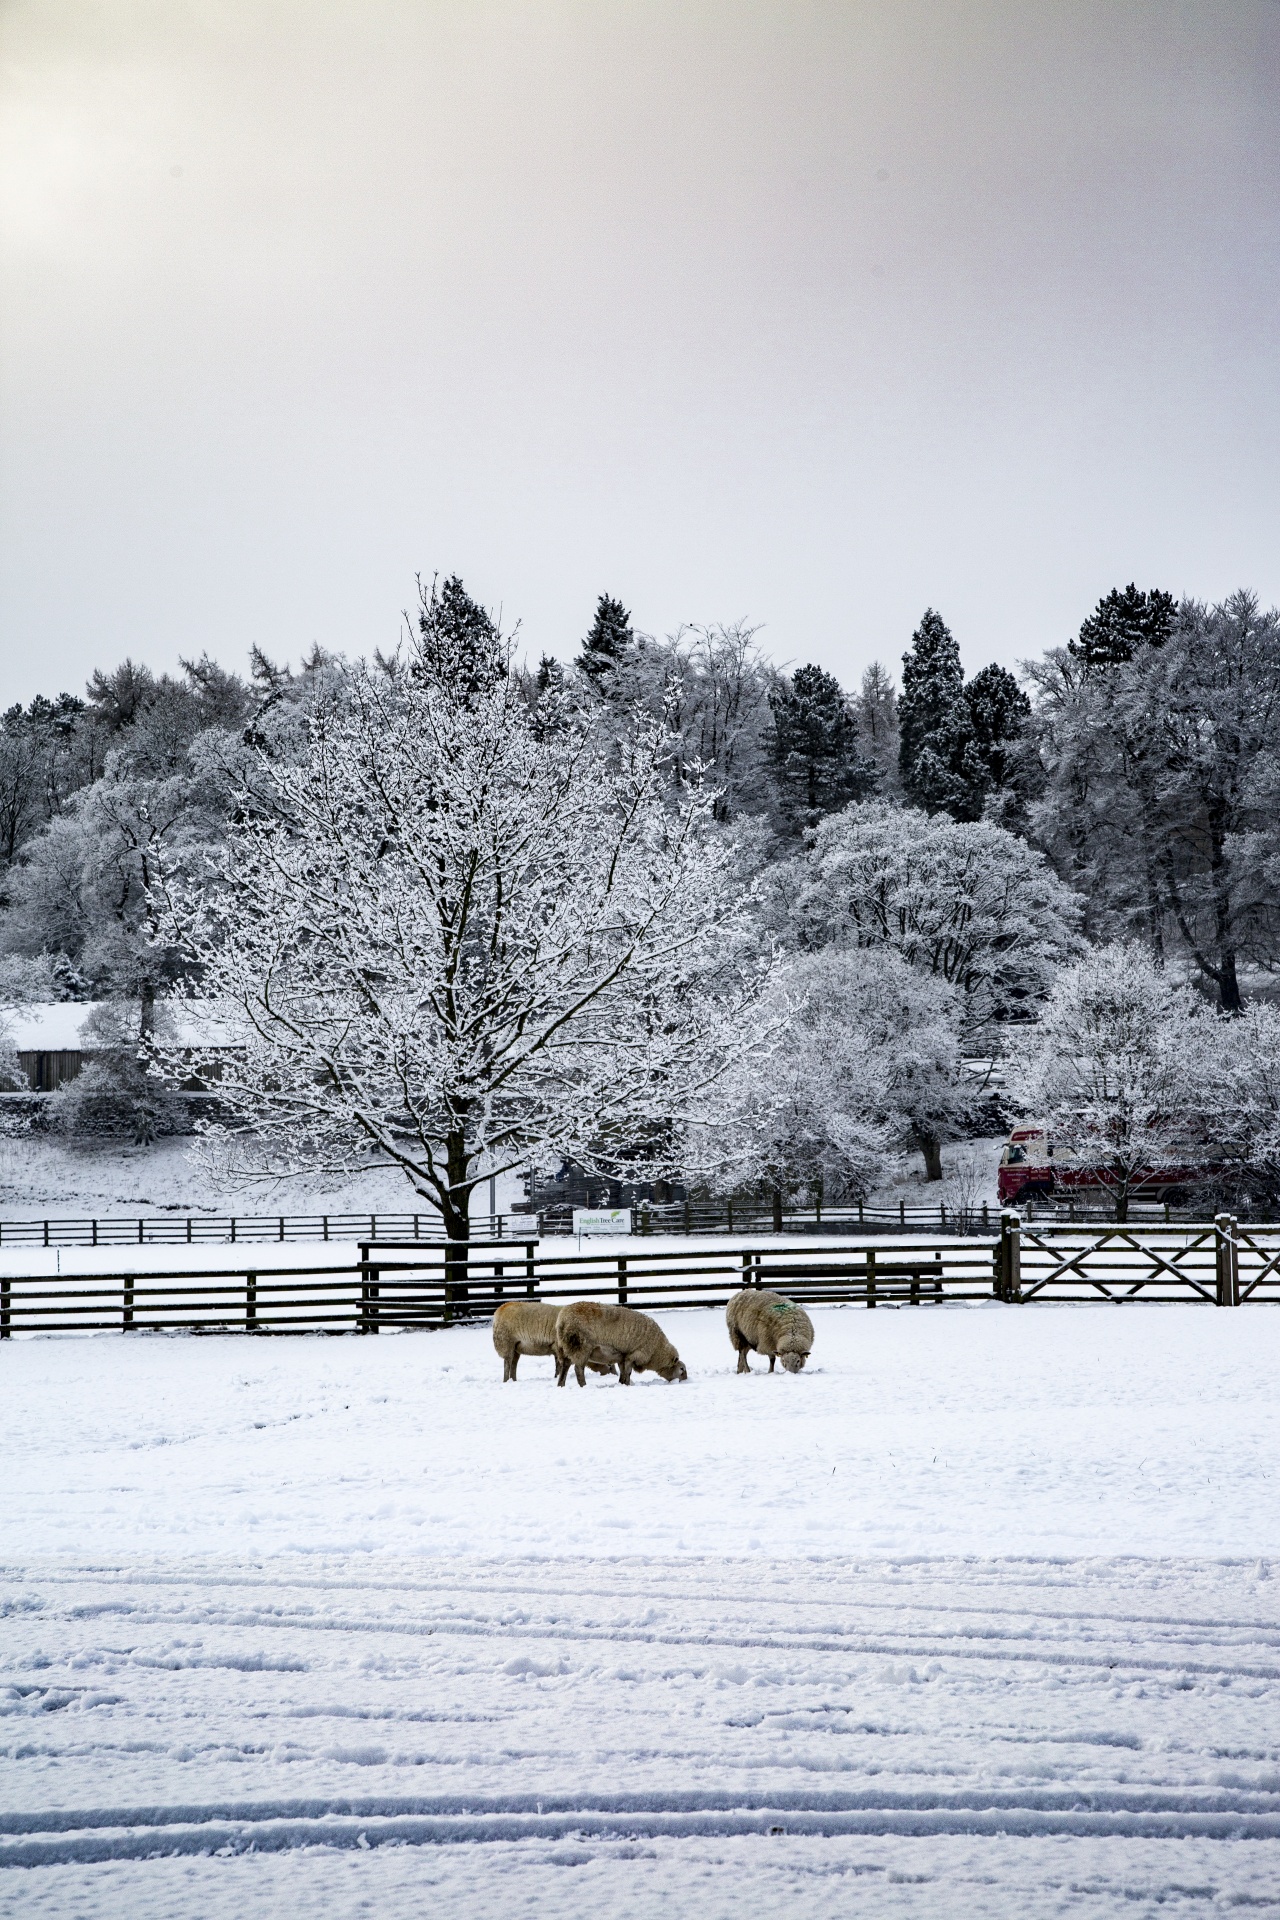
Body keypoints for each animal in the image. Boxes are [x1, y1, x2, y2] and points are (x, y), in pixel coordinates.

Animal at [556, 1297, 687, 1390]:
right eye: (681, 1369)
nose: (686, 1380)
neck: (656, 1351)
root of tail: (562, 1319)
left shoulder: (622, 1356)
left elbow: (623, 1372)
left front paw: (622, 1383)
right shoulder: (634, 1354)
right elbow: (628, 1372)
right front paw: (627, 1385)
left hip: (565, 1347)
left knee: (565, 1366)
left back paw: (561, 1384)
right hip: (581, 1346)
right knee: (578, 1369)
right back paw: (583, 1385)